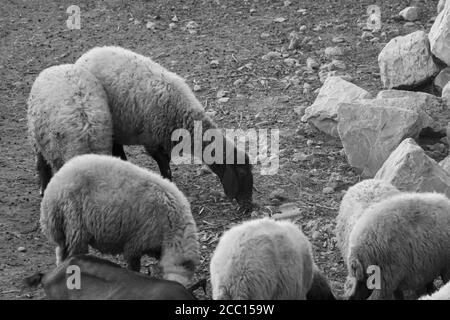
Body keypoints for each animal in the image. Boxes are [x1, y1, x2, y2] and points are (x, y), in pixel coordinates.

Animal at [39, 154, 200, 286]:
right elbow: (134, 267)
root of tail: (55, 184)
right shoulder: (135, 244)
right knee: (73, 256)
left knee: (61, 255)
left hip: (62, 231)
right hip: (74, 228)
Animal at [75, 46, 255, 212]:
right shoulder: (153, 142)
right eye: (241, 174)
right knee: (117, 146)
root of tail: (89, 54)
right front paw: (168, 185)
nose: (249, 206)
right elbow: (166, 168)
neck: (184, 116)